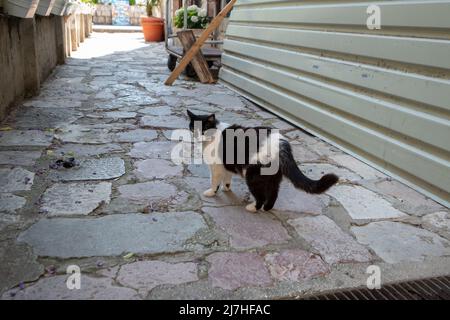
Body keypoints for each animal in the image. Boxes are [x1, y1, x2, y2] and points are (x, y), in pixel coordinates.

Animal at [186, 110, 338, 212]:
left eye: (205, 128)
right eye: (193, 128)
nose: (197, 136)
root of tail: (282, 144)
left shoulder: (216, 167)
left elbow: (214, 181)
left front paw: (212, 192)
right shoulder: (226, 166)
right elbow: (227, 178)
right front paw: (226, 188)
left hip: (252, 174)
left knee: (260, 196)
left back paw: (253, 207)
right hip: (272, 177)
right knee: (273, 193)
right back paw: (267, 208)